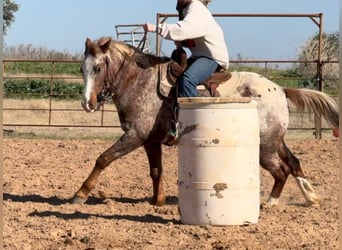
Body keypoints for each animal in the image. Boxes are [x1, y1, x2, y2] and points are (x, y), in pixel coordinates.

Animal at [73, 35, 340, 207]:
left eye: (98, 68)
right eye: (82, 69)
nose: (87, 103)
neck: (138, 81)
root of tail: (280, 90)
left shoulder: (135, 135)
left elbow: (103, 158)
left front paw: (80, 193)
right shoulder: (150, 140)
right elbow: (156, 170)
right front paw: (158, 201)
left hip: (265, 147)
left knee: (281, 170)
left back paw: (271, 203)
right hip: (276, 141)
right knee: (293, 163)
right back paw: (311, 198)